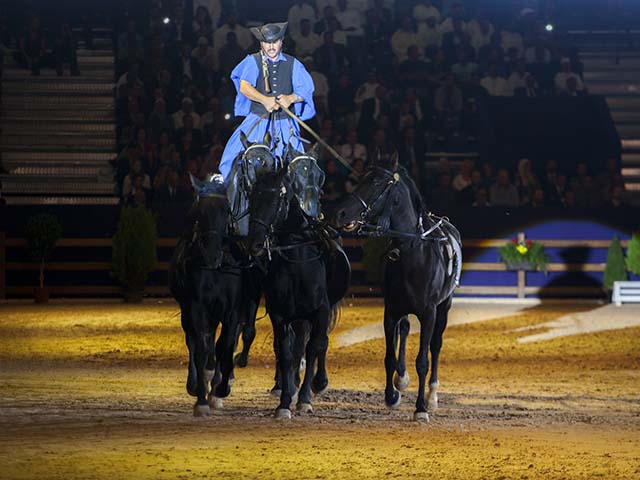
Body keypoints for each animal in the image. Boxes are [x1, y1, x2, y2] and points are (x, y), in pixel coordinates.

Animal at [168, 177, 245, 416]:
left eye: (226, 210)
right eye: (200, 211)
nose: (212, 255)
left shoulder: (232, 311)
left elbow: (225, 345)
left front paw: (220, 390)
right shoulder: (197, 307)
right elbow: (201, 349)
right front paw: (201, 399)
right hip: (189, 312)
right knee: (193, 342)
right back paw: (196, 383)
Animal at [248, 157, 349, 418]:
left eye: (277, 199)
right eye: (252, 198)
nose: (255, 244)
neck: (297, 260)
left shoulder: (321, 311)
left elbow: (314, 347)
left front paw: (305, 398)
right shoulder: (280, 314)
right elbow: (285, 351)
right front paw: (285, 401)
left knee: (318, 342)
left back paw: (319, 382)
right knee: (296, 345)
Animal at [332, 161, 462, 422]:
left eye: (374, 183)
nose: (340, 212)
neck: (413, 251)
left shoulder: (429, 313)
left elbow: (423, 360)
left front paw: (421, 409)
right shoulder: (391, 310)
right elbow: (390, 356)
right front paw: (392, 394)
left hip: (444, 307)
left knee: (436, 346)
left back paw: (432, 397)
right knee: (404, 330)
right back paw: (401, 380)